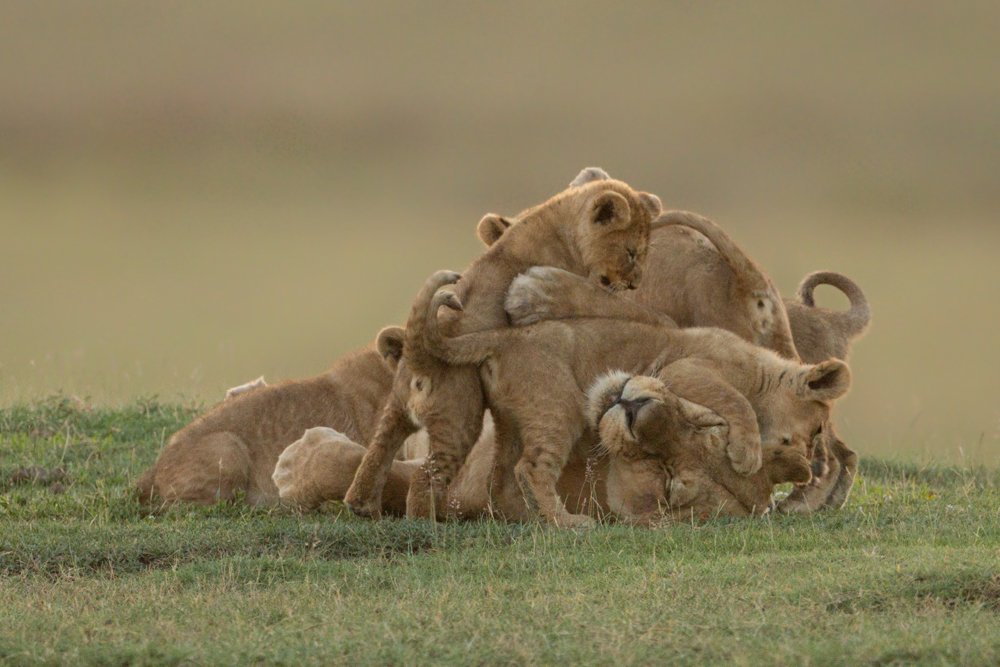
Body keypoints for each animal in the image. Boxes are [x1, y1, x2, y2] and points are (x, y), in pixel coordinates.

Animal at [344, 168, 666, 520]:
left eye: (644, 253)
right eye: (631, 253)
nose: (634, 283)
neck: (559, 219)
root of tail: (419, 358)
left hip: (397, 408)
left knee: (378, 451)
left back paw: (361, 504)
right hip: (460, 417)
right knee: (425, 476)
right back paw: (427, 520)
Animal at [413, 271, 851, 527]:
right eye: (815, 430)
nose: (810, 464)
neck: (761, 372)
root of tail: (502, 339)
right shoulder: (685, 371)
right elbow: (733, 400)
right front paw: (746, 453)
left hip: (509, 421)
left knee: (503, 477)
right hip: (558, 407)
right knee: (532, 468)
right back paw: (569, 522)